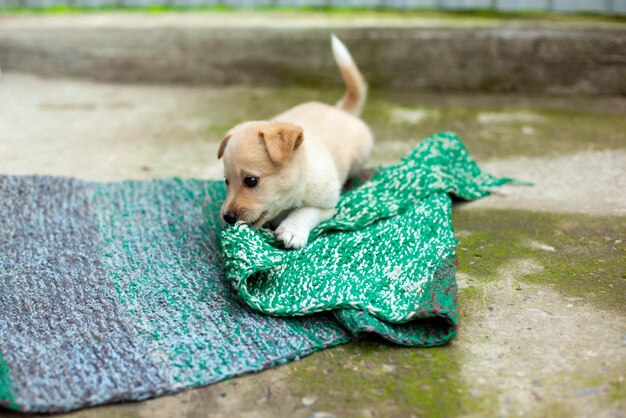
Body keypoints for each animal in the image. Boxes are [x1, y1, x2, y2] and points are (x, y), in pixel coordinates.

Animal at [217, 35, 370, 248]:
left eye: (251, 181)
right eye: (226, 181)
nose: (228, 217)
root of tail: (339, 109)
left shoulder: (325, 206)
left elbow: (304, 212)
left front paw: (292, 231)